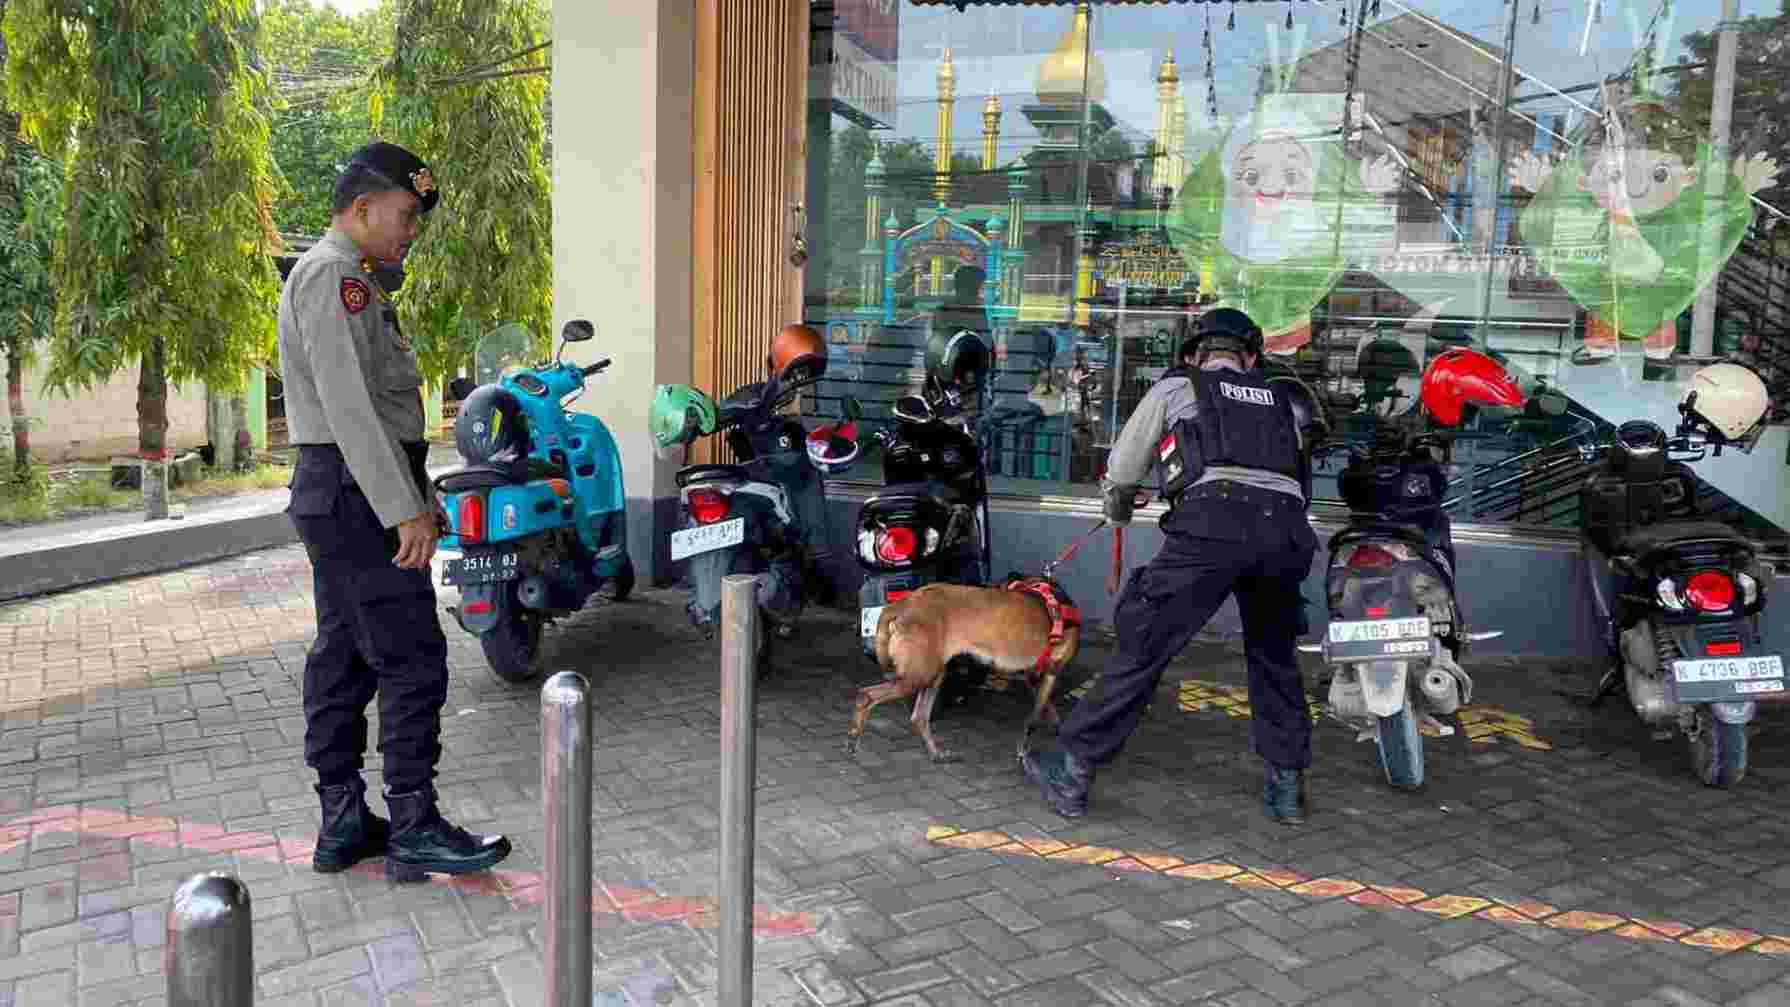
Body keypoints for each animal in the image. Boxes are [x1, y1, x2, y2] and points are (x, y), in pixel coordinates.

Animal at [848, 575, 1081, 765]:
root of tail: (901, 605)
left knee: (919, 717)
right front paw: (1025, 750)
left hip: (934, 674)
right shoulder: (1050, 673)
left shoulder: (1034, 676)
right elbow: (1034, 719)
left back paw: (936, 754)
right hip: (917, 677)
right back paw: (853, 738)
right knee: (866, 696)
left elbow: (1045, 711)